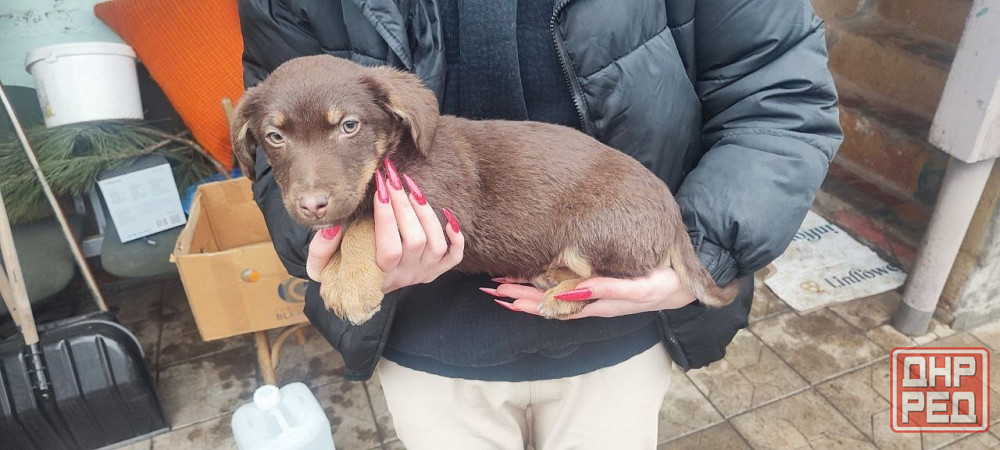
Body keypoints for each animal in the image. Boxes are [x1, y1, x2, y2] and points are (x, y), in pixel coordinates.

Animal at [231, 55, 739, 325]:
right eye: (275, 137)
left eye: (349, 127)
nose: (312, 206)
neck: (395, 151)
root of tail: (674, 221)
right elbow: (350, 221)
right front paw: (338, 272)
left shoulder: (437, 200)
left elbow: (364, 223)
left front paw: (351, 286)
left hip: (596, 226)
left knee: (612, 277)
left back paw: (562, 295)